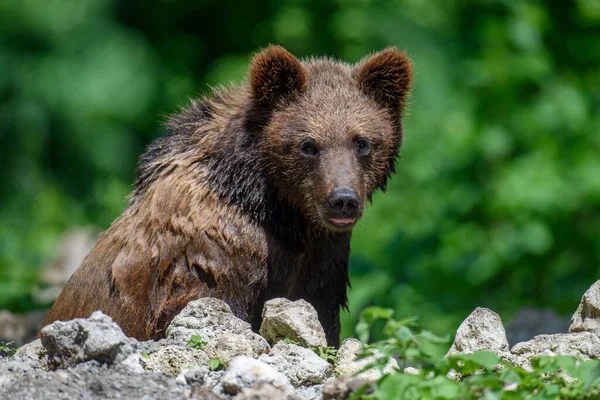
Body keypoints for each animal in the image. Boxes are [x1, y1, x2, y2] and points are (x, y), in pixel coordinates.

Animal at [41, 46, 412, 346]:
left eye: (362, 141)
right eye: (308, 145)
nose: (343, 199)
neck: (276, 210)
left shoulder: (323, 258)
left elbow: (322, 313)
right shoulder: (212, 259)